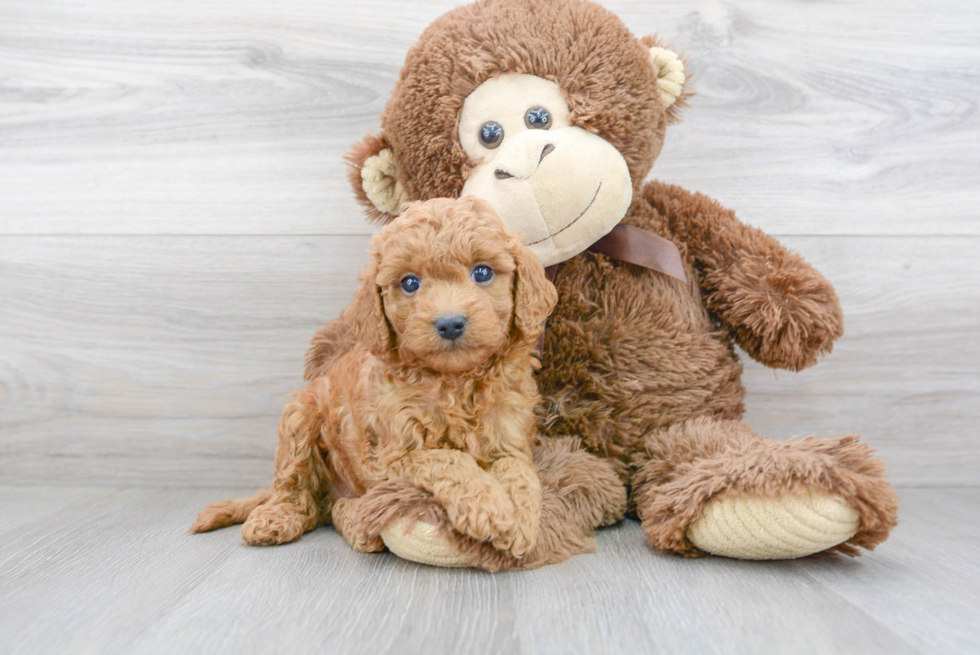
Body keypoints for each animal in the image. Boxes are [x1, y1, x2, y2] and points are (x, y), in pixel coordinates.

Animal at [191, 196, 560, 560]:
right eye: (410, 283)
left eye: (482, 272)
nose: (450, 323)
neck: (454, 381)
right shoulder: (394, 456)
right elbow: (448, 460)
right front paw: (491, 508)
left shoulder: (509, 438)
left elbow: (521, 473)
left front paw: (522, 520)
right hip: (301, 416)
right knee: (299, 492)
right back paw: (279, 518)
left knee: (330, 508)